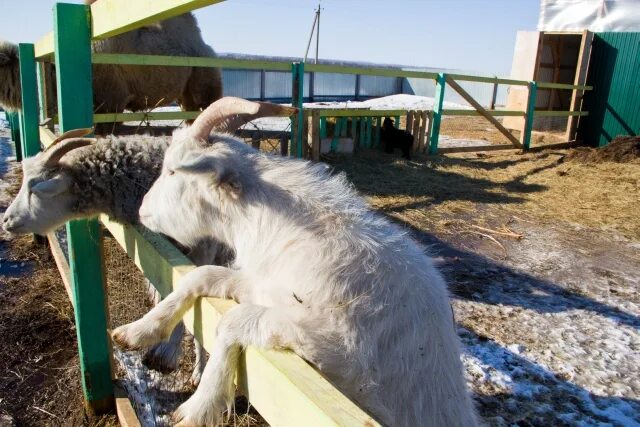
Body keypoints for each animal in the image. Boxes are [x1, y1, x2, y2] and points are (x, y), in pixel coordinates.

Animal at [112, 97, 478, 427]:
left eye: (173, 170)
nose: (141, 209)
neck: (300, 232)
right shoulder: (264, 285)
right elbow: (199, 276)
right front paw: (137, 332)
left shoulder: (341, 355)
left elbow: (232, 320)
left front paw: (197, 408)